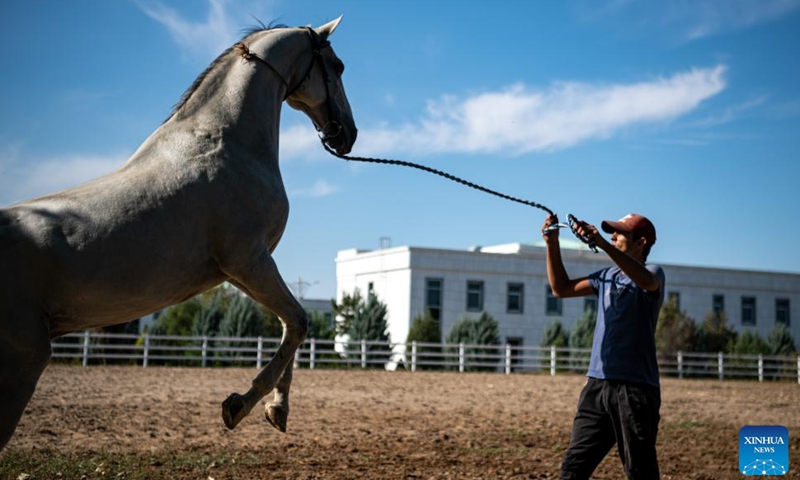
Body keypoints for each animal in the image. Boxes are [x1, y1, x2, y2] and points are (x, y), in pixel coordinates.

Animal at [0, 15, 356, 450]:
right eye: (338, 66)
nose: (347, 135)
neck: (227, 143)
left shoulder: (242, 271)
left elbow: (290, 324)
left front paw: (277, 410)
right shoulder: (249, 262)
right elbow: (300, 322)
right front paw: (240, 404)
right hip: (24, 361)